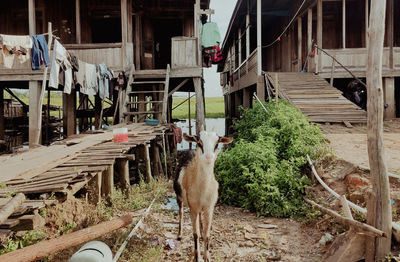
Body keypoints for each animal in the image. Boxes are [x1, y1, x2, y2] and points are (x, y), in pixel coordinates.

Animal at [173, 126, 233, 260]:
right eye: (200, 142)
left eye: (217, 143)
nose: (208, 157)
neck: (203, 189)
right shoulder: (193, 208)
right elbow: (195, 234)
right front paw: (197, 257)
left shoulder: (209, 208)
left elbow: (207, 235)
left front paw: (207, 257)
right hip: (179, 197)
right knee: (180, 213)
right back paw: (179, 235)